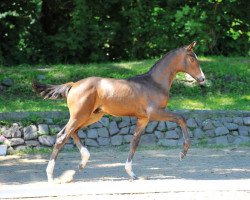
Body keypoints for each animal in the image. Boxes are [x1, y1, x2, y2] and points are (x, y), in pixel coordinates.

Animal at [33, 41, 205, 182]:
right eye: (192, 58)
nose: (202, 78)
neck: (154, 83)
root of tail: (73, 84)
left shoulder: (143, 119)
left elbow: (134, 143)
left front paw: (132, 173)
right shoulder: (155, 113)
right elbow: (181, 118)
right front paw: (183, 153)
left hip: (91, 116)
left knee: (72, 132)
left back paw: (82, 163)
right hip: (80, 115)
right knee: (62, 136)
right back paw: (51, 176)